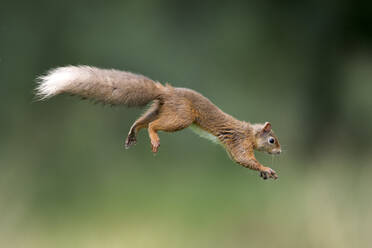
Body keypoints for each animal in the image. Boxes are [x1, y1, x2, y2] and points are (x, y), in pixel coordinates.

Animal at [37, 65, 282, 180]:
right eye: (272, 140)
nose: (280, 152)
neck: (250, 132)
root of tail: (166, 91)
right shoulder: (239, 142)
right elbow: (243, 159)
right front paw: (266, 168)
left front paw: (264, 172)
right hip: (182, 117)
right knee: (153, 126)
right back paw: (154, 139)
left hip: (160, 110)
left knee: (141, 121)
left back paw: (132, 133)